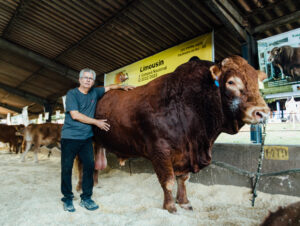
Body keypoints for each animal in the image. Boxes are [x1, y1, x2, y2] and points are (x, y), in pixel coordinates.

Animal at [92, 55, 270, 213]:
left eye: (258, 83)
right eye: (231, 81)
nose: (262, 112)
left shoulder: (184, 154)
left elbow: (183, 179)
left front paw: (184, 202)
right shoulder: (159, 151)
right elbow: (168, 181)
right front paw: (170, 206)